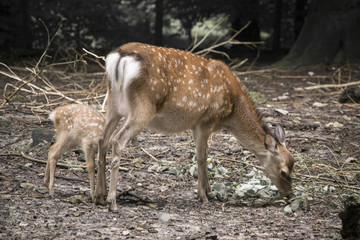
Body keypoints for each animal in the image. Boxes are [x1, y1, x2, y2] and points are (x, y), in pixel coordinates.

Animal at [95, 42, 296, 211]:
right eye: (284, 172)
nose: (289, 193)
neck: (231, 112)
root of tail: (120, 57)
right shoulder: (204, 122)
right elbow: (201, 157)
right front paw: (203, 196)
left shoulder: (195, 126)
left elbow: (205, 156)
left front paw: (210, 191)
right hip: (142, 107)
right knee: (117, 141)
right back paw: (112, 202)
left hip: (113, 104)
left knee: (102, 139)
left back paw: (99, 196)